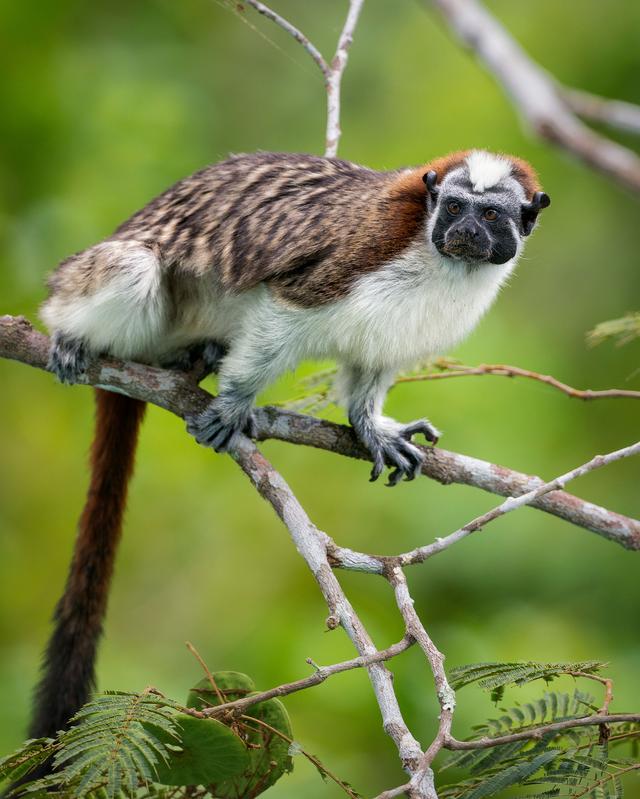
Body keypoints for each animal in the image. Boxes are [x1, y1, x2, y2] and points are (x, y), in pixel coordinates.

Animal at [31, 148, 552, 744]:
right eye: (455, 208)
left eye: (490, 216)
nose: (463, 232)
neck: (442, 262)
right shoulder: (357, 254)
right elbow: (287, 306)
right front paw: (235, 403)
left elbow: (373, 363)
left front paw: (371, 427)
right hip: (90, 284)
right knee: (133, 269)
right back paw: (73, 336)